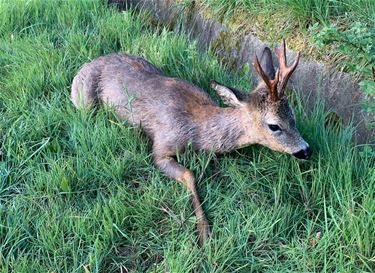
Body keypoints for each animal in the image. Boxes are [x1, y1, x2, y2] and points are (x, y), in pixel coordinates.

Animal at [71, 39, 312, 245]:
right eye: (274, 125)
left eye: (293, 115)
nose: (306, 150)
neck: (198, 129)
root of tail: (87, 64)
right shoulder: (160, 146)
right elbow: (189, 174)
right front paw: (204, 232)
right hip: (84, 100)